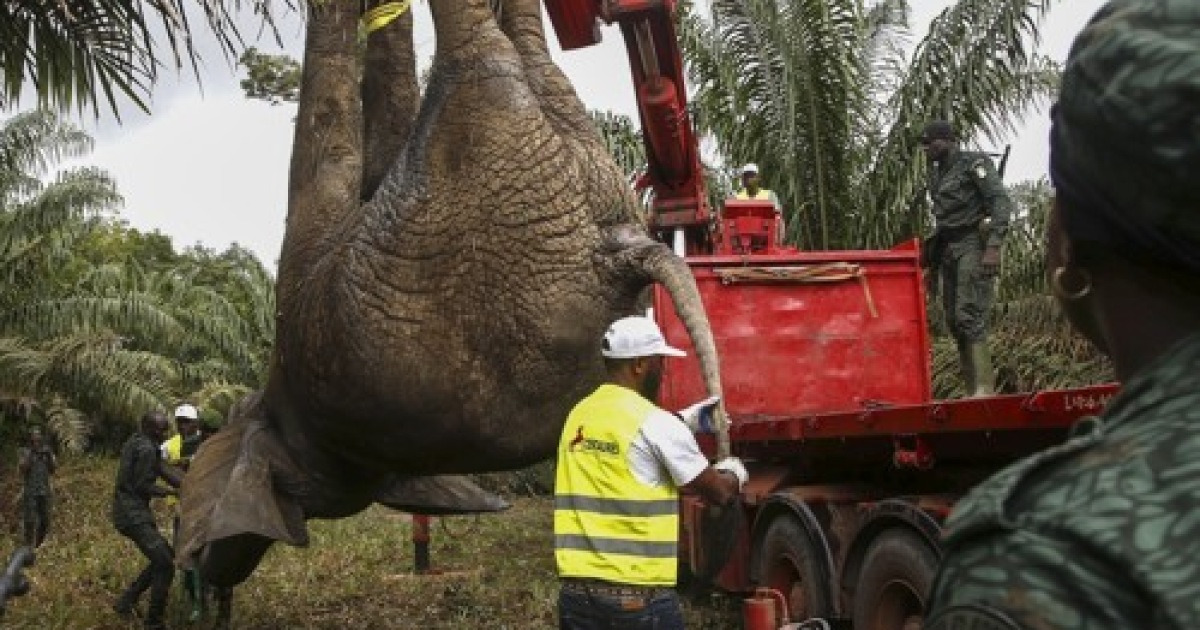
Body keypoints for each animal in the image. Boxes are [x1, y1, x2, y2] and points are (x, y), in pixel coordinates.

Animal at [176, 0, 720, 588]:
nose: (204, 572)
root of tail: (615, 255)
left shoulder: (299, 325)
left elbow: (334, 146)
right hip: (528, 185)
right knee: (505, 48)